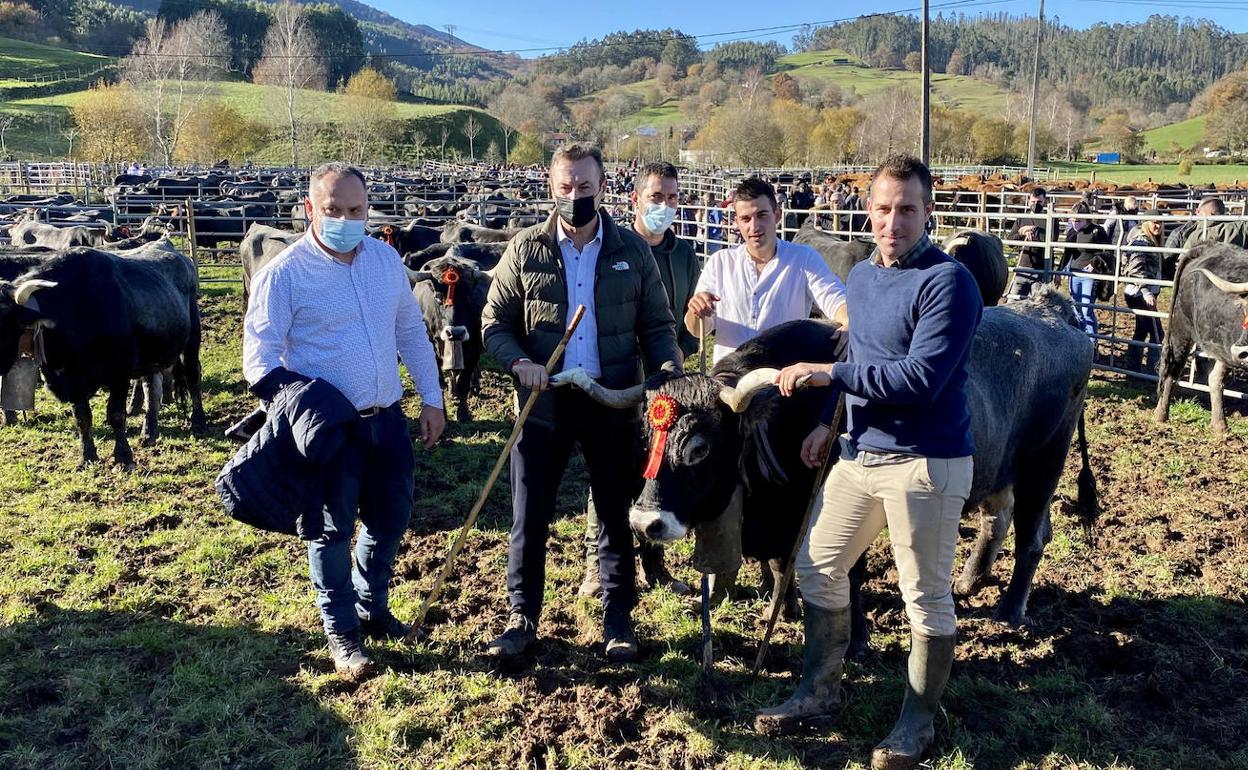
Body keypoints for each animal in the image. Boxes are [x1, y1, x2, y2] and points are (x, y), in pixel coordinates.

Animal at [1153, 239, 1248, 431]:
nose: (1240, 352)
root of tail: (1206, 246)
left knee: (1215, 379)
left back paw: (1220, 425)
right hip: (1181, 329)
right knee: (1172, 370)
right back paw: (1161, 415)